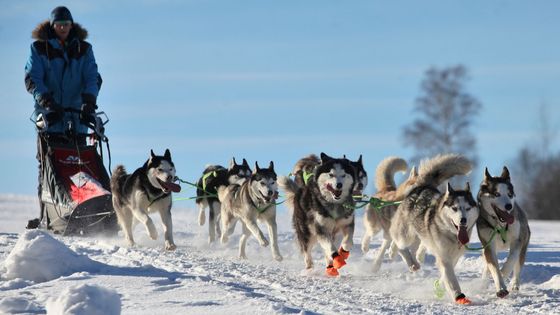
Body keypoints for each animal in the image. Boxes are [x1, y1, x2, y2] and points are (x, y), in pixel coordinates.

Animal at [390, 154, 476, 304]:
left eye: (467, 208)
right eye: (454, 208)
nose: (463, 220)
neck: (452, 236)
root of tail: (422, 186)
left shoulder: (454, 257)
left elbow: (445, 276)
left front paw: (440, 286)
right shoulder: (444, 258)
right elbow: (451, 279)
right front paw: (458, 296)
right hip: (406, 234)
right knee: (399, 242)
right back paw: (409, 261)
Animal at [476, 168, 528, 298]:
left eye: (509, 194)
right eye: (496, 194)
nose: (509, 206)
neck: (500, 226)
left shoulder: (517, 241)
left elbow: (511, 260)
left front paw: (504, 272)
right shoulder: (488, 245)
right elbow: (494, 268)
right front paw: (500, 288)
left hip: (523, 245)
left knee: (517, 265)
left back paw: (515, 284)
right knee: (487, 265)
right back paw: (484, 281)